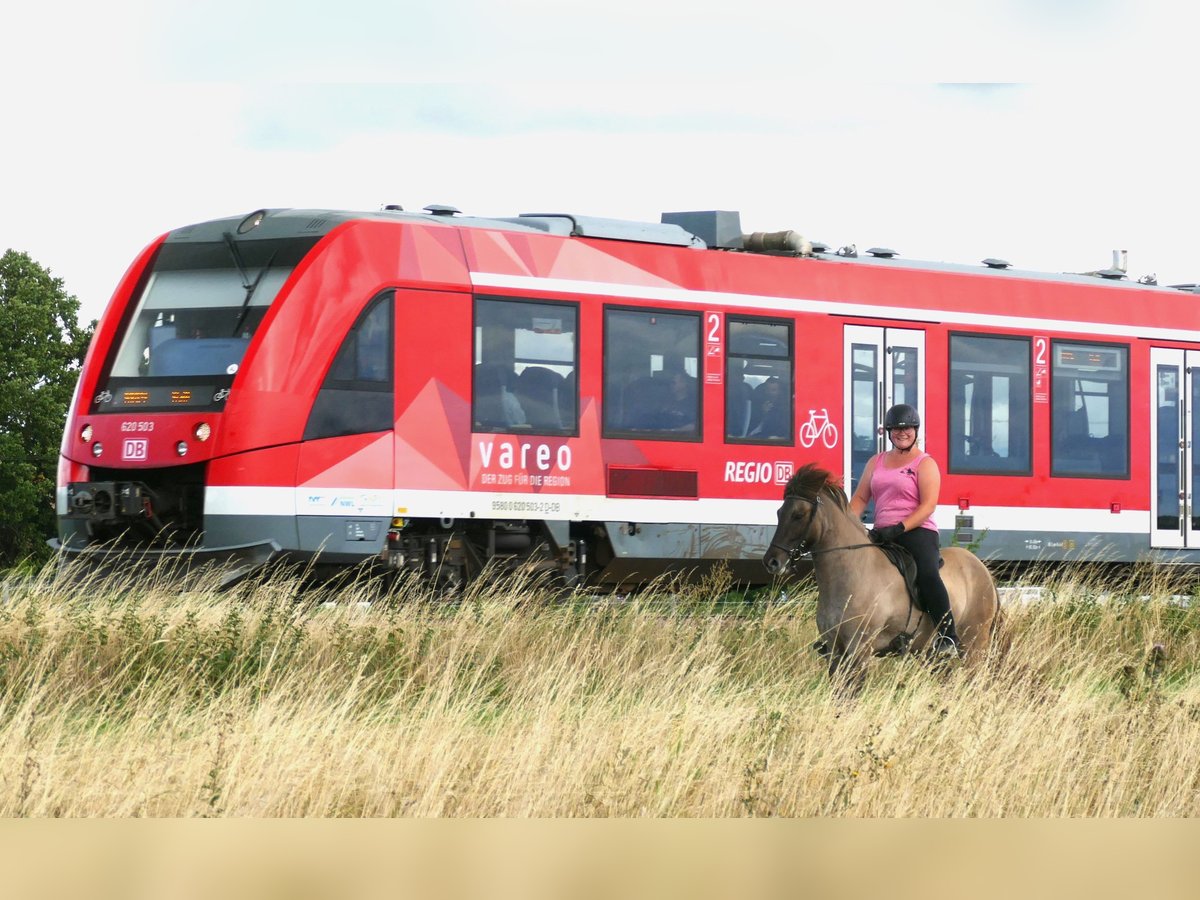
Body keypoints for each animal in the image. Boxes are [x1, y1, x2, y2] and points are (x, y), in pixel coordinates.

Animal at [763, 465, 998, 681]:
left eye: (798, 515)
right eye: (779, 512)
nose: (772, 562)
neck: (851, 573)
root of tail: (983, 569)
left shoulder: (859, 650)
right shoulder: (835, 650)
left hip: (973, 644)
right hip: (931, 655)